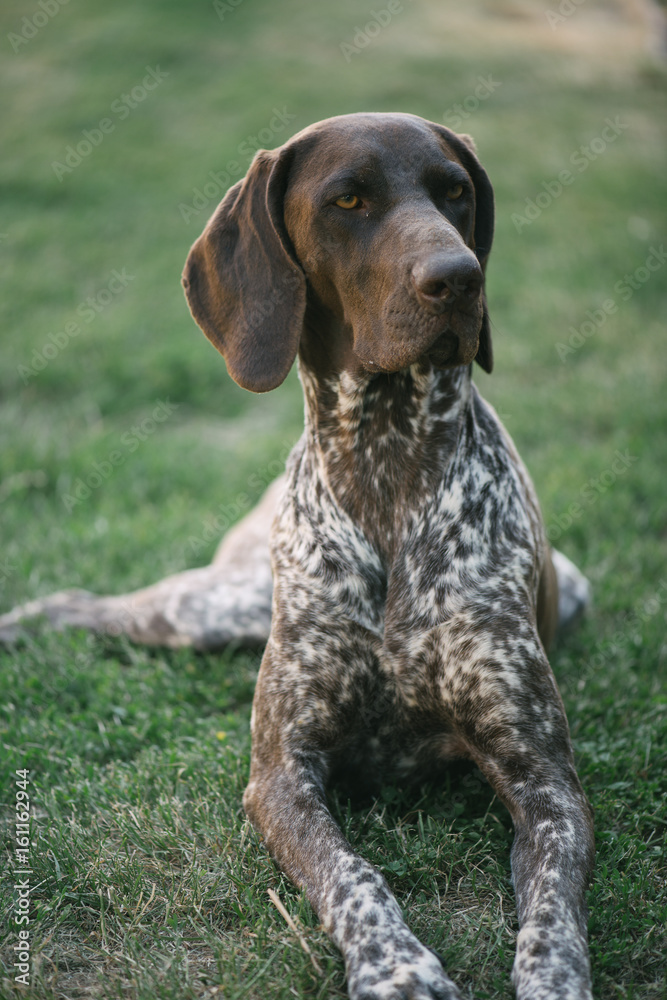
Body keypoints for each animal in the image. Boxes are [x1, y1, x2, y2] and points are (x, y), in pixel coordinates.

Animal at [1, 113, 596, 996]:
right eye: (348, 200)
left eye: (454, 191)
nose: (458, 278)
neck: (385, 462)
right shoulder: (281, 775)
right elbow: (351, 876)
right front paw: (397, 967)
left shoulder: (544, 780)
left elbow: (552, 909)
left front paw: (550, 979)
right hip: (212, 608)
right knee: (85, 604)